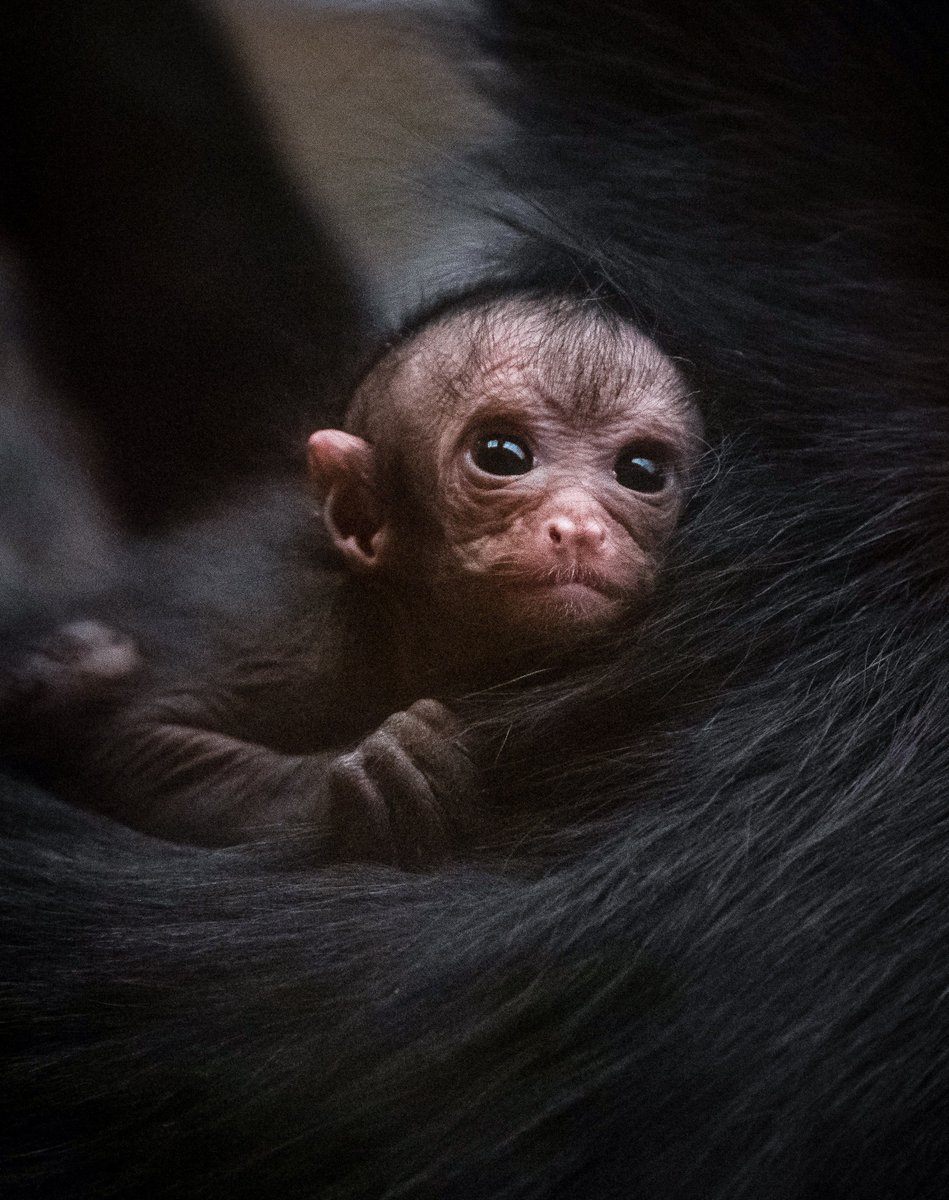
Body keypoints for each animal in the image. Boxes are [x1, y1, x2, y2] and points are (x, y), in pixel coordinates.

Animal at [12, 294, 701, 865]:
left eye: (641, 470)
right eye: (502, 455)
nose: (580, 528)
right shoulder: (306, 639)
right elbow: (137, 742)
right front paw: (377, 775)